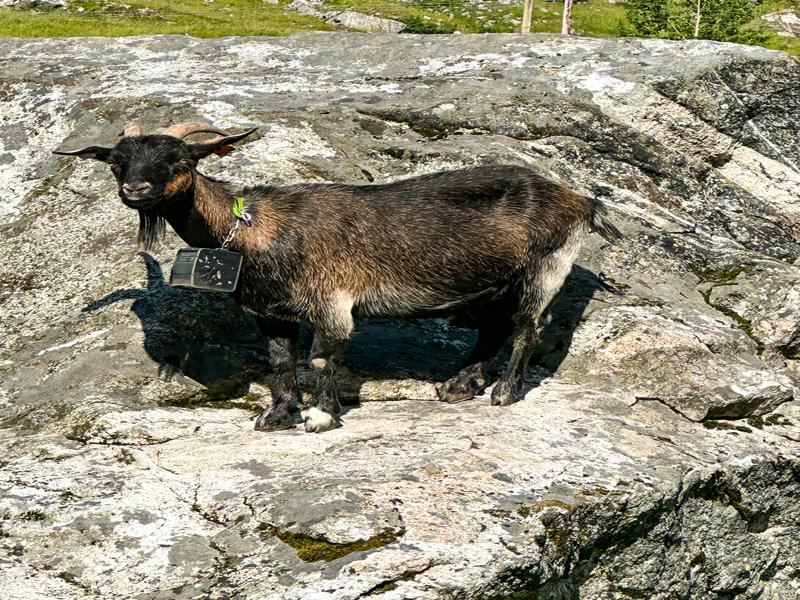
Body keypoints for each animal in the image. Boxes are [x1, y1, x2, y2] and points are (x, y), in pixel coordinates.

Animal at [54, 121, 621, 433]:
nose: (136, 190)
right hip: (489, 281)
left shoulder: (332, 301)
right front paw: (277, 416)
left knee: (528, 326)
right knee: (495, 326)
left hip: (545, 267)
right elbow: (281, 362)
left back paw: (504, 391)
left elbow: (323, 358)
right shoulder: (271, 314)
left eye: (180, 158)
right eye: (116, 162)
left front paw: (322, 417)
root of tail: (580, 200)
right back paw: (460, 383)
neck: (251, 230)